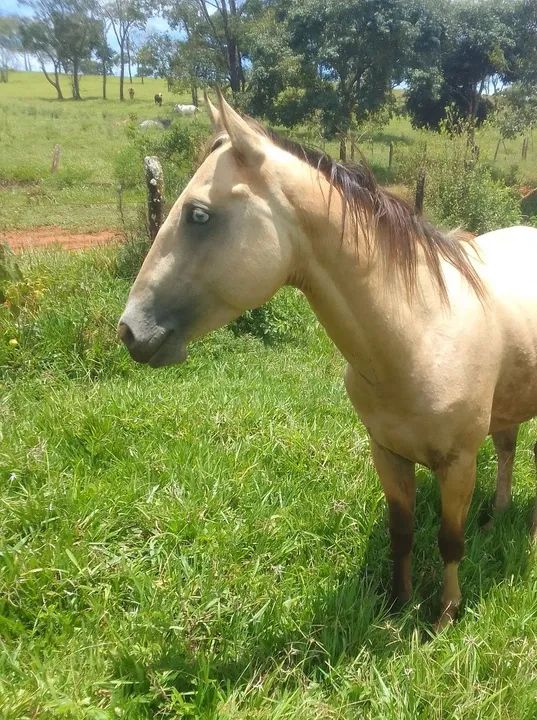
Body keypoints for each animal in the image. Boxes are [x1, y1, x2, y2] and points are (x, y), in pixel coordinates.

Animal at [118, 89, 537, 630]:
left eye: (198, 215)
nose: (130, 330)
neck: (420, 332)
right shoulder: (388, 454)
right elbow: (402, 533)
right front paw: (398, 604)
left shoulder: (458, 463)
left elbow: (449, 542)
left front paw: (444, 617)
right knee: (507, 447)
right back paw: (499, 514)